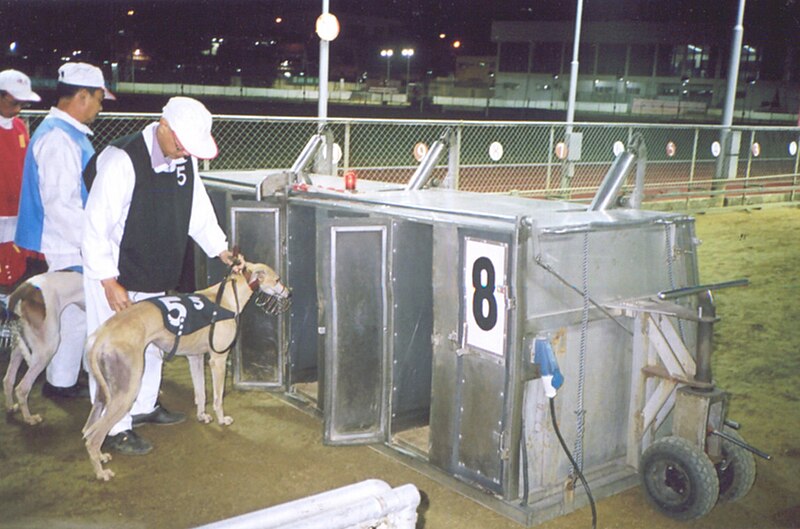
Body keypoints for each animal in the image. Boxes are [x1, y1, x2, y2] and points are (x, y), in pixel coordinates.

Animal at [2, 272, 85, 424]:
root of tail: (25, 288)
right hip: (48, 346)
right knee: (22, 388)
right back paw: (29, 418)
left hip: (20, 343)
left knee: (8, 379)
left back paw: (11, 407)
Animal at [83, 262, 290, 480]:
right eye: (277, 279)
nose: (289, 292)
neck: (226, 297)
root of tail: (100, 335)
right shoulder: (218, 360)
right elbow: (217, 398)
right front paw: (222, 419)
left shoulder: (195, 357)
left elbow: (200, 393)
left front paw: (202, 416)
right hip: (127, 390)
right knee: (94, 436)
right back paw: (101, 472)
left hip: (103, 392)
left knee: (88, 429)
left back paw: (101, 456)